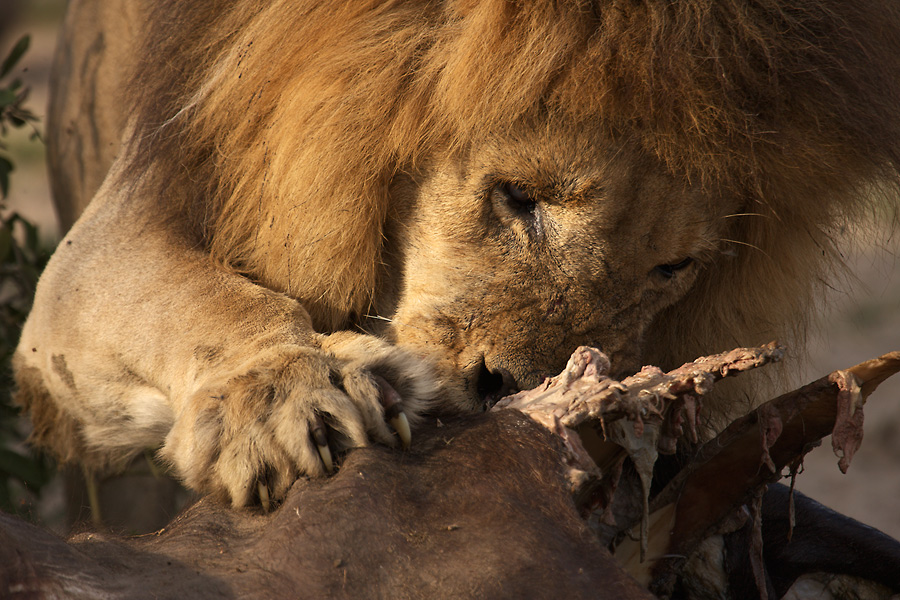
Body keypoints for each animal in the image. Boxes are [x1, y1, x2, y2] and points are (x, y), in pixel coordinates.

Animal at [12, 0, 900, 508]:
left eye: (671, 269)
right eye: (519, 196)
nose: (518, 395)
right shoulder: (119, 224)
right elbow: (203, 302)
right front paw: (291, 394)